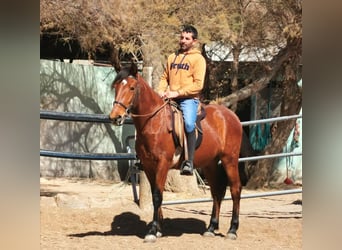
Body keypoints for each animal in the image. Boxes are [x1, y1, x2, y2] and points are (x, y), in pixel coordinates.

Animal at [108, 63, 242, 243]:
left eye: (131, 87)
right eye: (116, 87)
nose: (115, 117)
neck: (154, 122)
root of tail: (231, 116)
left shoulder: (162, 164)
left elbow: (157, 196)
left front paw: (152, 231)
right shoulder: (149, 166)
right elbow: (155, 194)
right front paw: (158, 229)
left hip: (230, 160)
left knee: (235, 189)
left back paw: (232, 230)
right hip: (210, 165)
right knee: (216, 192)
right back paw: (211, 228)